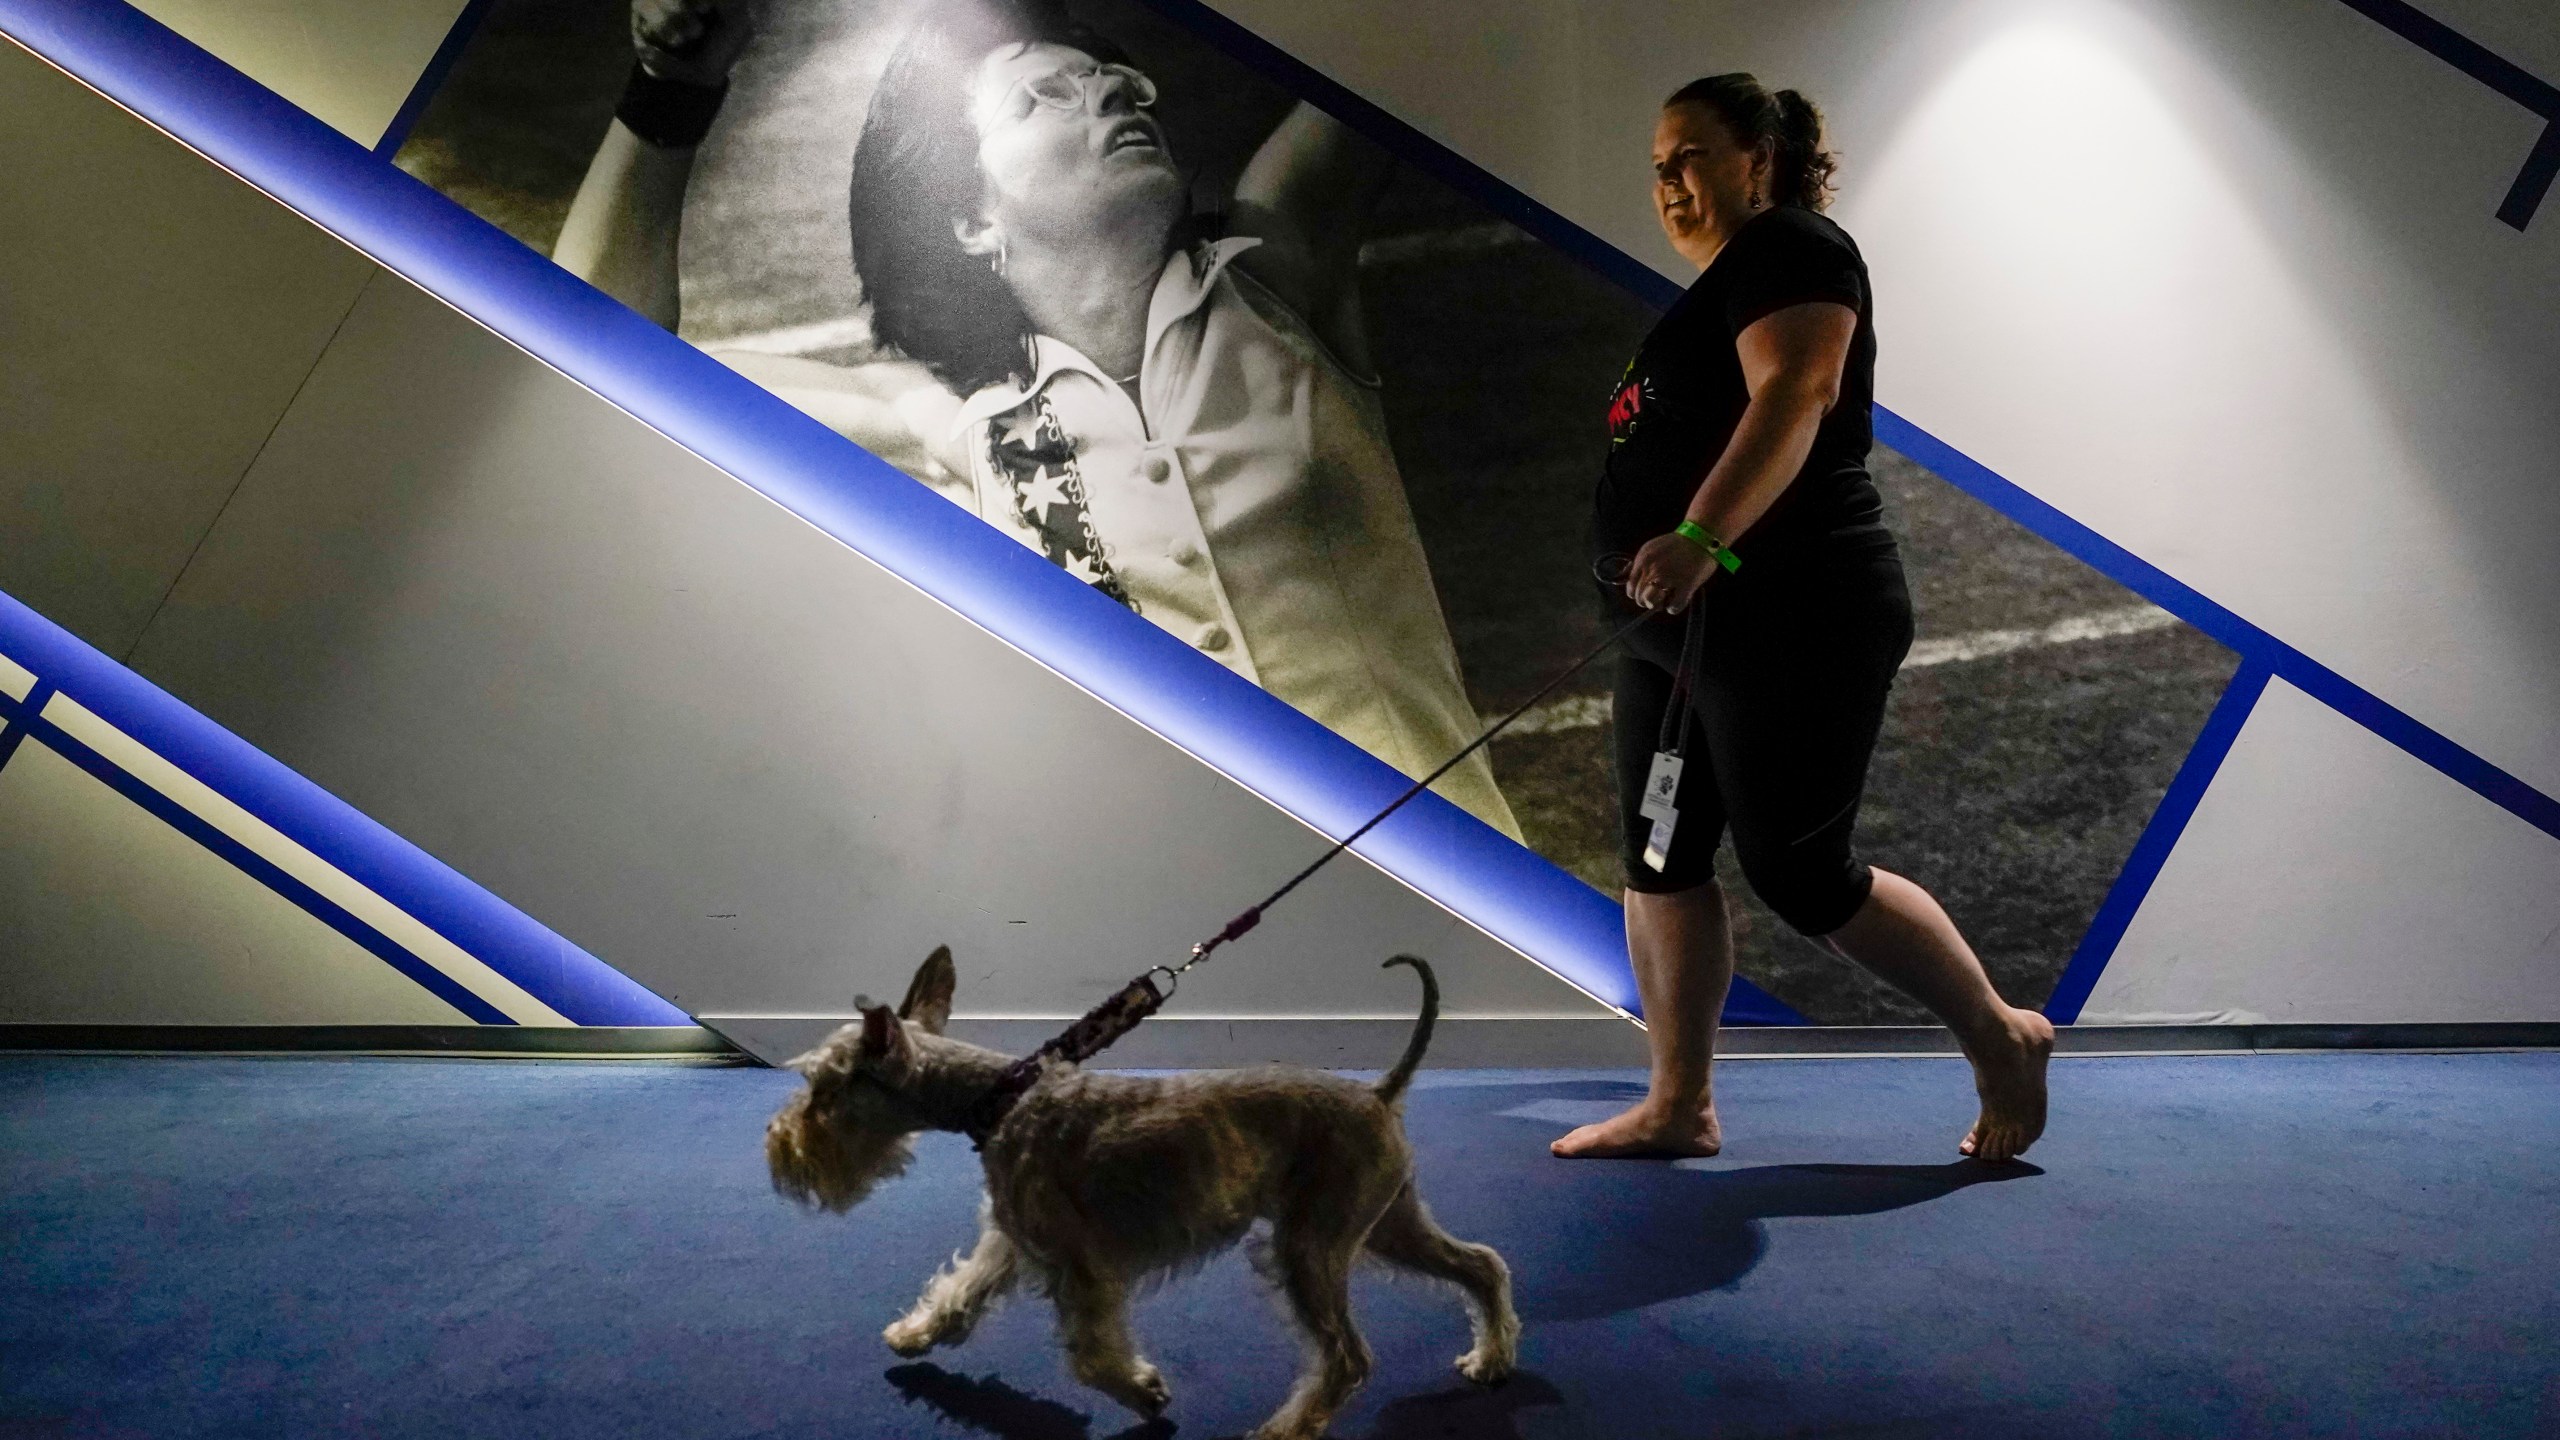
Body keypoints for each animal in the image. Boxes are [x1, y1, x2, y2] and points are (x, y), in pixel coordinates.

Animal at [762, 942, 1515, 1434]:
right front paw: (914, 1335)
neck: (998, 1099)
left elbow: (1093, 1358)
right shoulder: (1013, 1239)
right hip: (1384, 1223)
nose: (778, 1145)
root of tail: (1380, 1094)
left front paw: (1145, 1392)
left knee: (1348, 1359)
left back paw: (1285, 1428)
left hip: (1311, 1248)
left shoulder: (1082, 1268)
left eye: (825, 1090)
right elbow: (959, 1291)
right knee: (1481, 1264)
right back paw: (1492, 1359)